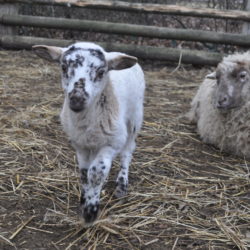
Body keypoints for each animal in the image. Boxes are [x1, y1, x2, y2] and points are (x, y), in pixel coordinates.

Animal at [33, 42, 146, 224]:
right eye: (63, 67)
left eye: (101, 72)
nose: (77, 99)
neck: (86, 121)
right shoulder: (80, 144)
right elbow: (85, 173)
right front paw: (85, 198)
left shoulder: (112, 142)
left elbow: (96, 172)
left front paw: (90, 212)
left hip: (134, 119)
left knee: (127, 153)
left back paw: (122, 184)